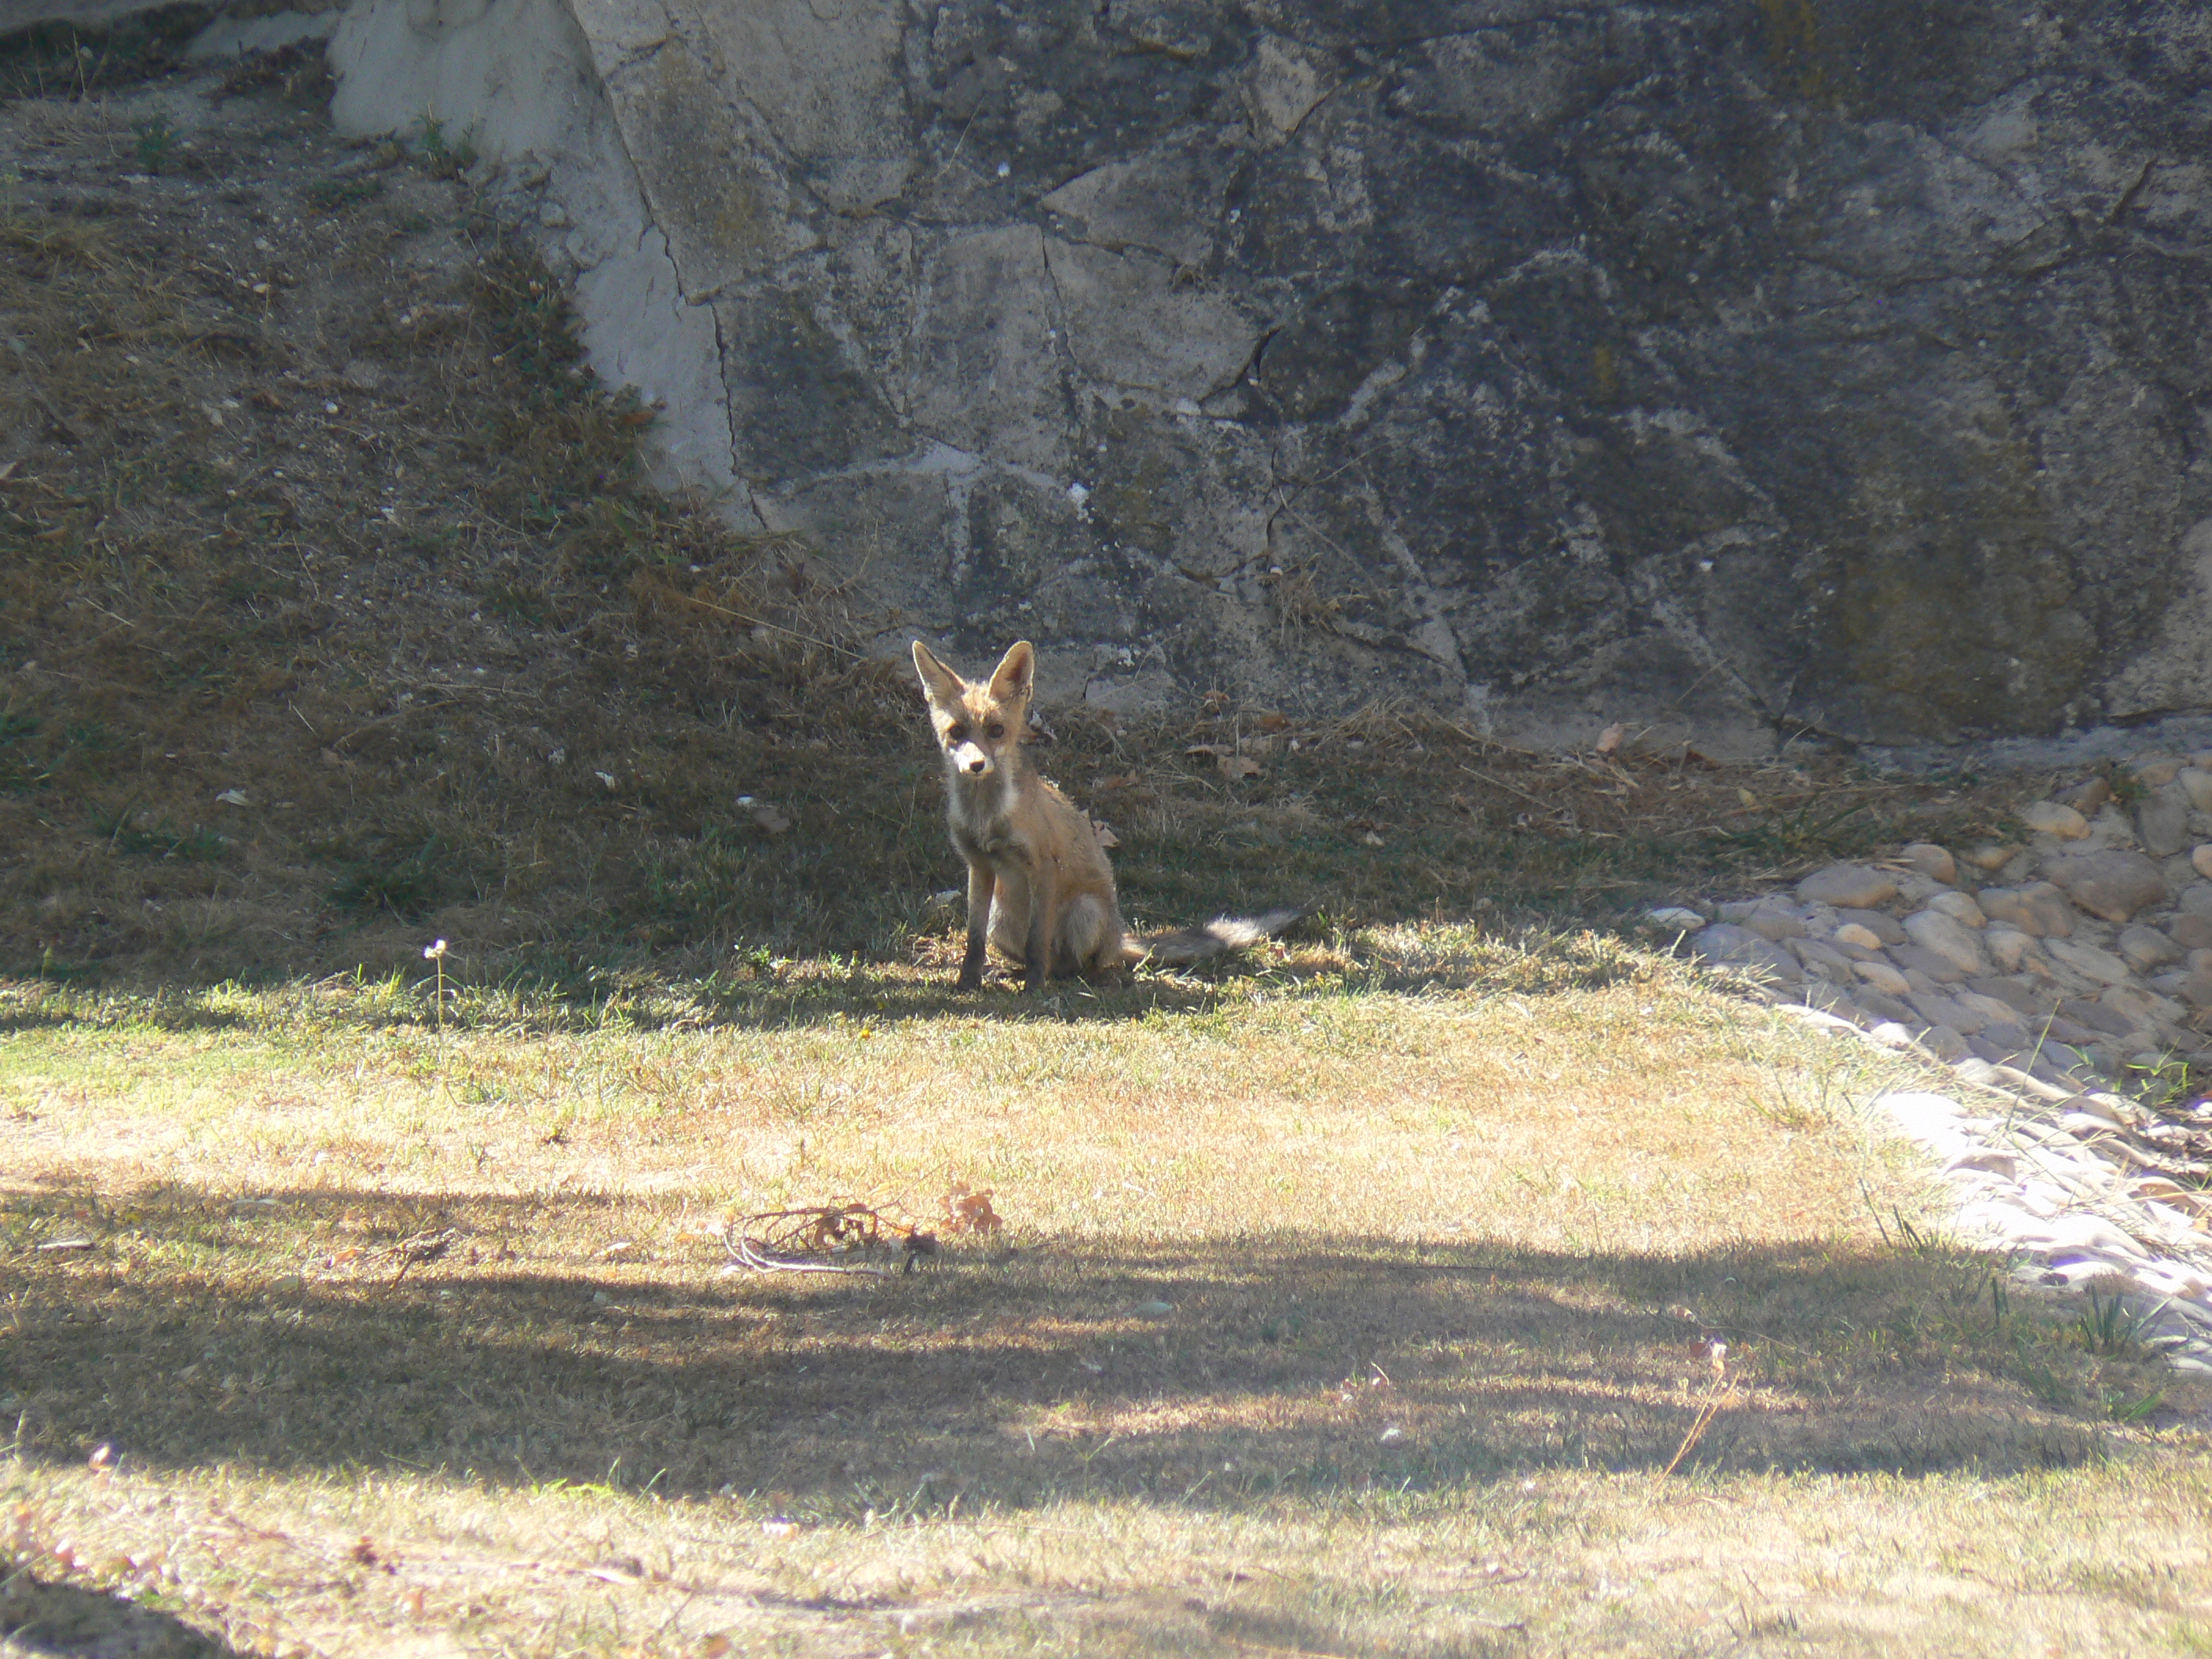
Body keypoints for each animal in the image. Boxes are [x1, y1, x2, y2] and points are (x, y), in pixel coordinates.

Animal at [911, 637, 1306, 992]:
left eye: (996, 730)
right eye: (957, 733)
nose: (977, 765)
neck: (987, 817)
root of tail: (1119, 938)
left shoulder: (1042, 865)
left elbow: (1037, 942)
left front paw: (1035, 991)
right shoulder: (979, 866)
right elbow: (973, 941)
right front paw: (967, 983)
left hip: (1085, 911)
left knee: (1074, 964)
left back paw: (1062, 978)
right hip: (1000, 916)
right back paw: (1014, 972)